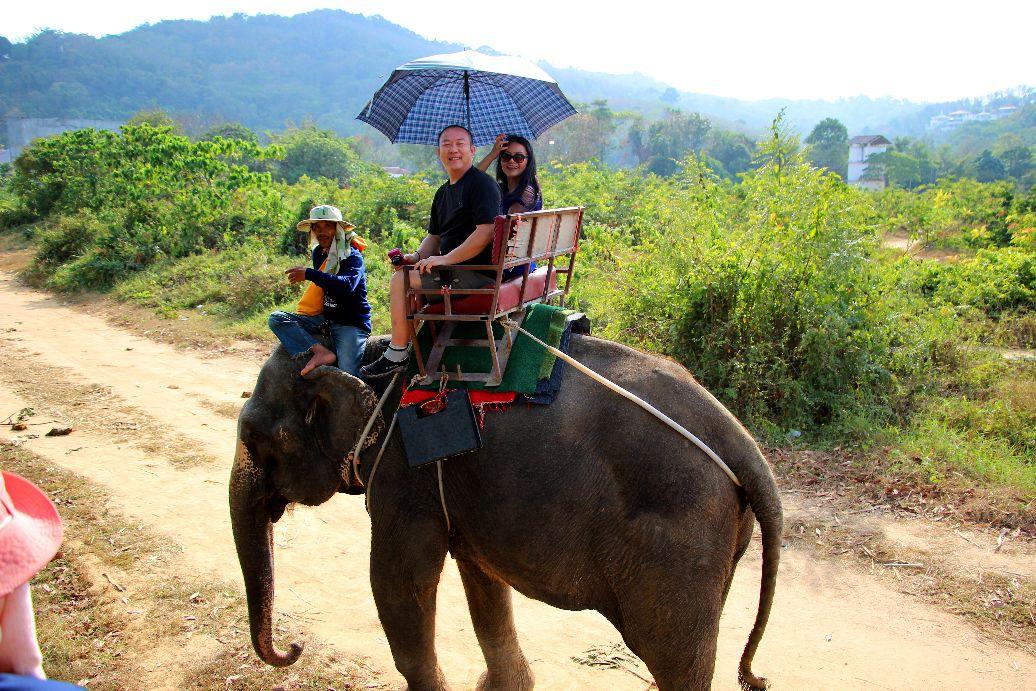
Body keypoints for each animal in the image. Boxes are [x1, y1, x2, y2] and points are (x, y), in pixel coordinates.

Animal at [231, 331, 779, 687]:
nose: (294, 647)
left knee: (672, 657)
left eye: (256, 438)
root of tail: (743, 444)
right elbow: (482, 582)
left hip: (678, 543)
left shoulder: (403, 477)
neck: (368, 362)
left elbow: (399, 584)